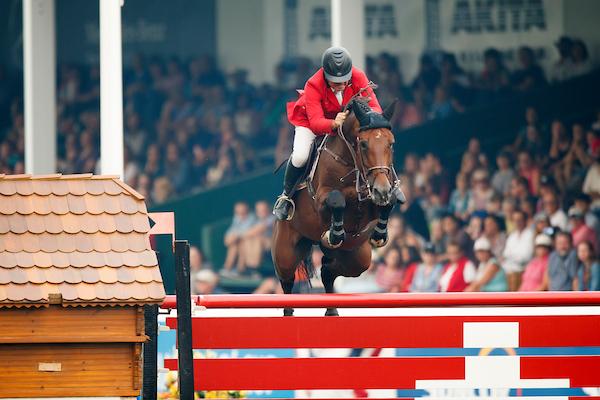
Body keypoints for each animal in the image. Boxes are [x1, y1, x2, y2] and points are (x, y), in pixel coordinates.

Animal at [272, 99, 404, 316]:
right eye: (363, 144)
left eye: (391, 143)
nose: (381, 190)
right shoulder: (320, 199)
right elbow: (337, 200)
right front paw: (335, 233)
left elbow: (391, 201)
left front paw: (379, 234)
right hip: (286, 253)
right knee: (287, 281)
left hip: (356, 256)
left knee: (328, 270)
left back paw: (332, 310)